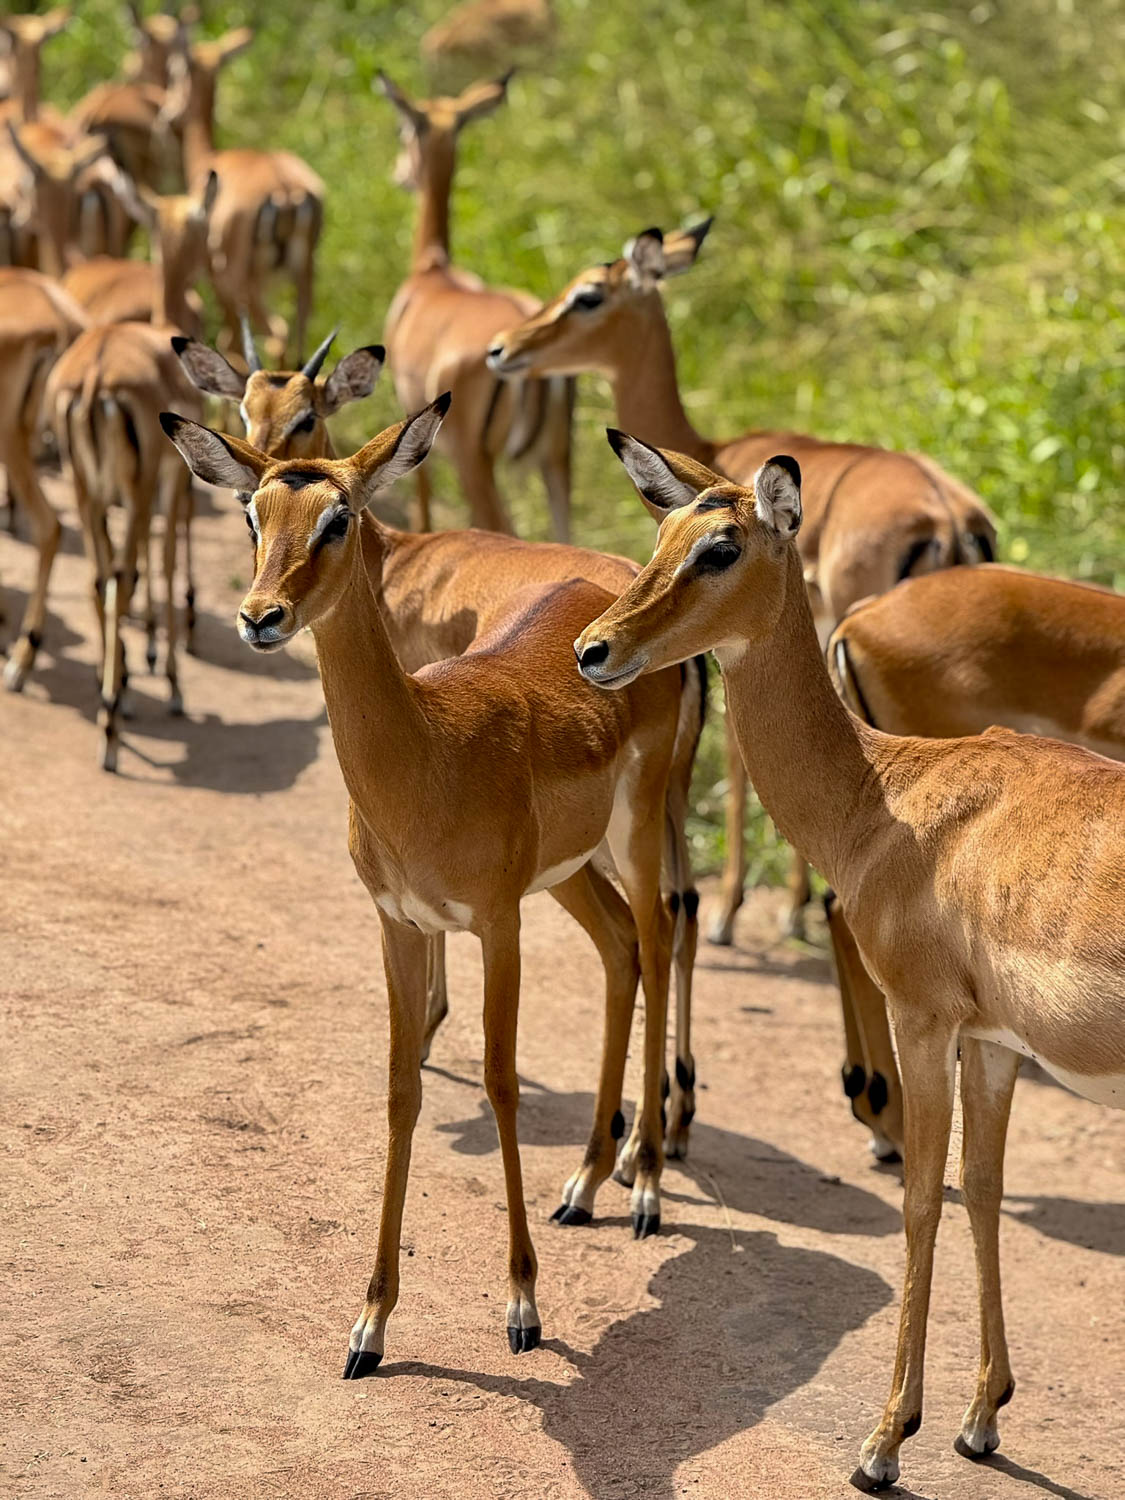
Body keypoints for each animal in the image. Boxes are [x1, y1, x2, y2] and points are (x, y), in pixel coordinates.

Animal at [161, 26, 323, 362]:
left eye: (174, 69)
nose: (167, 114)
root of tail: (285, 190)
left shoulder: (216, 277)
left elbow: (230, 342)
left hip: (243, 283)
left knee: (277, 336)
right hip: (304, 277)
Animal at [161, 400, 689, 1375]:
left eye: (337, 519)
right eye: (254, 514)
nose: (260, 616)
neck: (427, 752)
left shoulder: (494, 924)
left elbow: (500, 1080)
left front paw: (523, 1307)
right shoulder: (400, 925)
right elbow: (402, 1089)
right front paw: (369, 1325)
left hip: (633, 837)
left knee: (660, 935)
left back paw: (643, 1192)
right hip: (571, 875)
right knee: (619, 950)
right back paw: (583, 1184)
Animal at [377, 70, 574, 537]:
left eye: (402, 130)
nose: (399, 173)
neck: (432, 272)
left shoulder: (408, 407)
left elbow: (423, 496)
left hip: (475, 462)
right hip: (556, 463)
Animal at [486, 221, 997, 940]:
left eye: (588, 294)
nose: (502, 349)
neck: (715, 450)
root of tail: (947, 512)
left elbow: (733, 753)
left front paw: (740, 910)